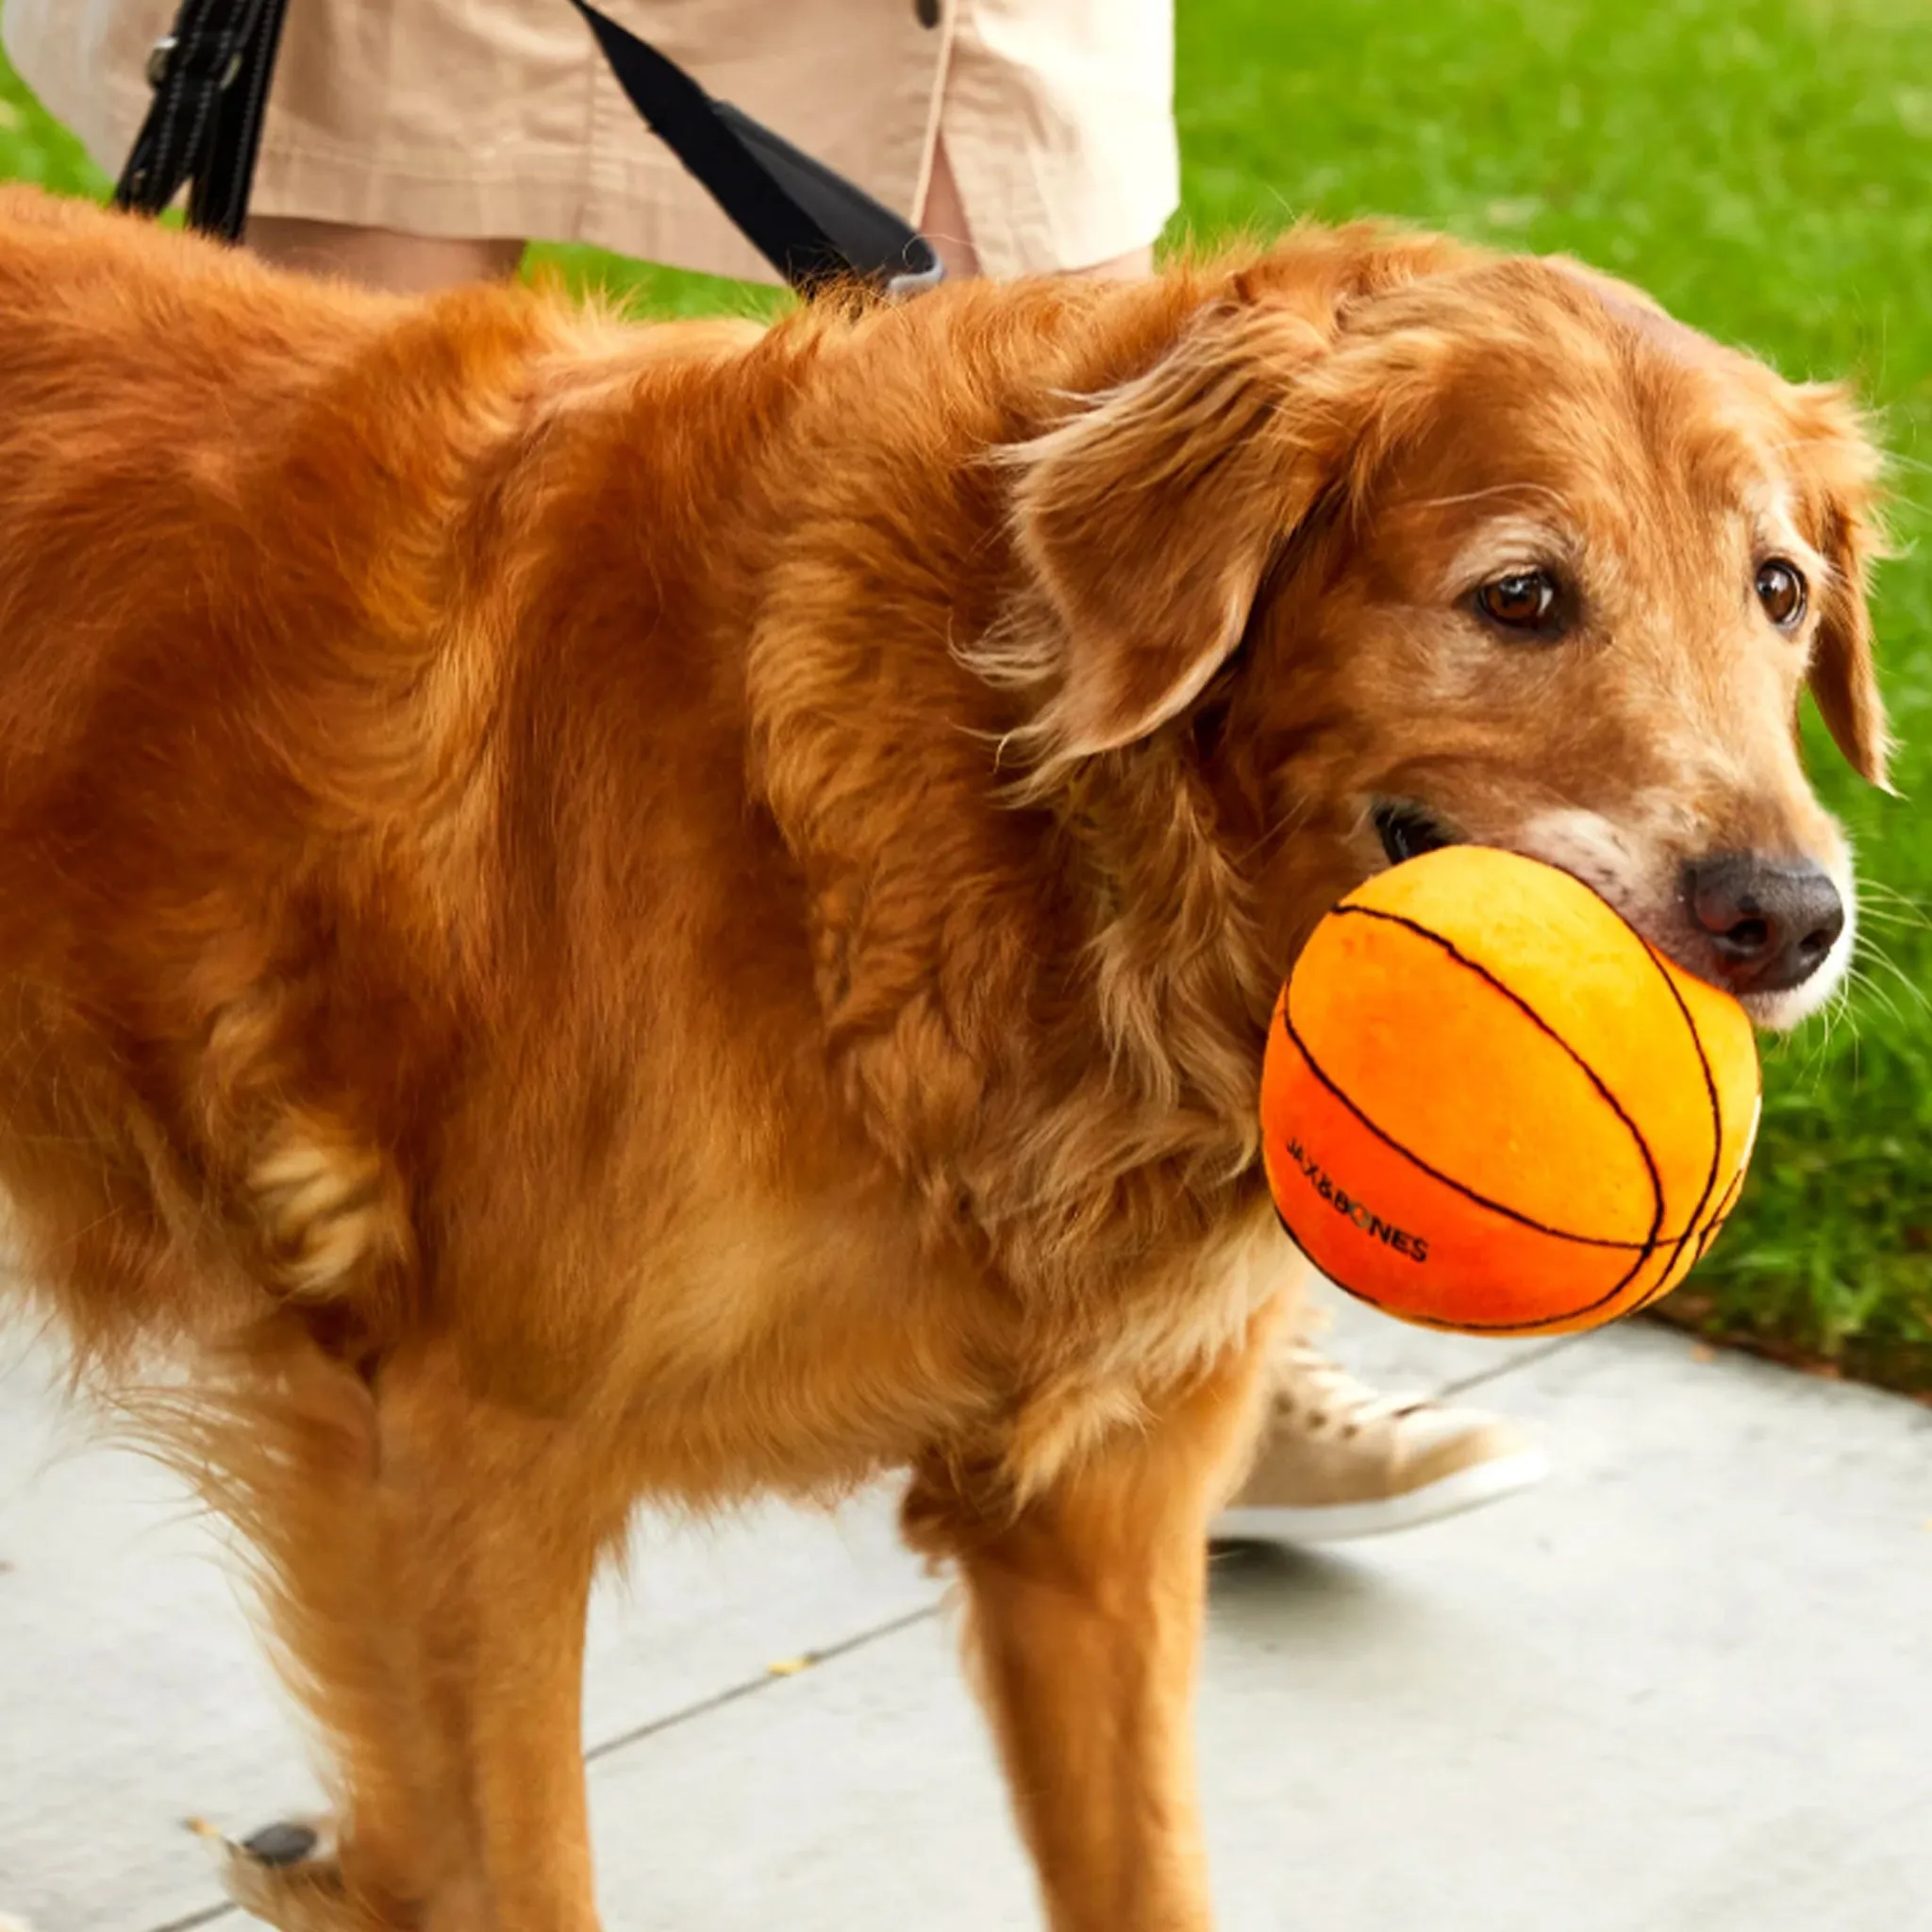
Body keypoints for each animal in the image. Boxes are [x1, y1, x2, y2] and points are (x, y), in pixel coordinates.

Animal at [0, 184, 1885, 1932]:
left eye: (1777, 590)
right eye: (1521, 595)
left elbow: (1142, 1863)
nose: (1788, 916)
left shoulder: (1099, 1508)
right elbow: (514, 1869)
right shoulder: (462, 1466)